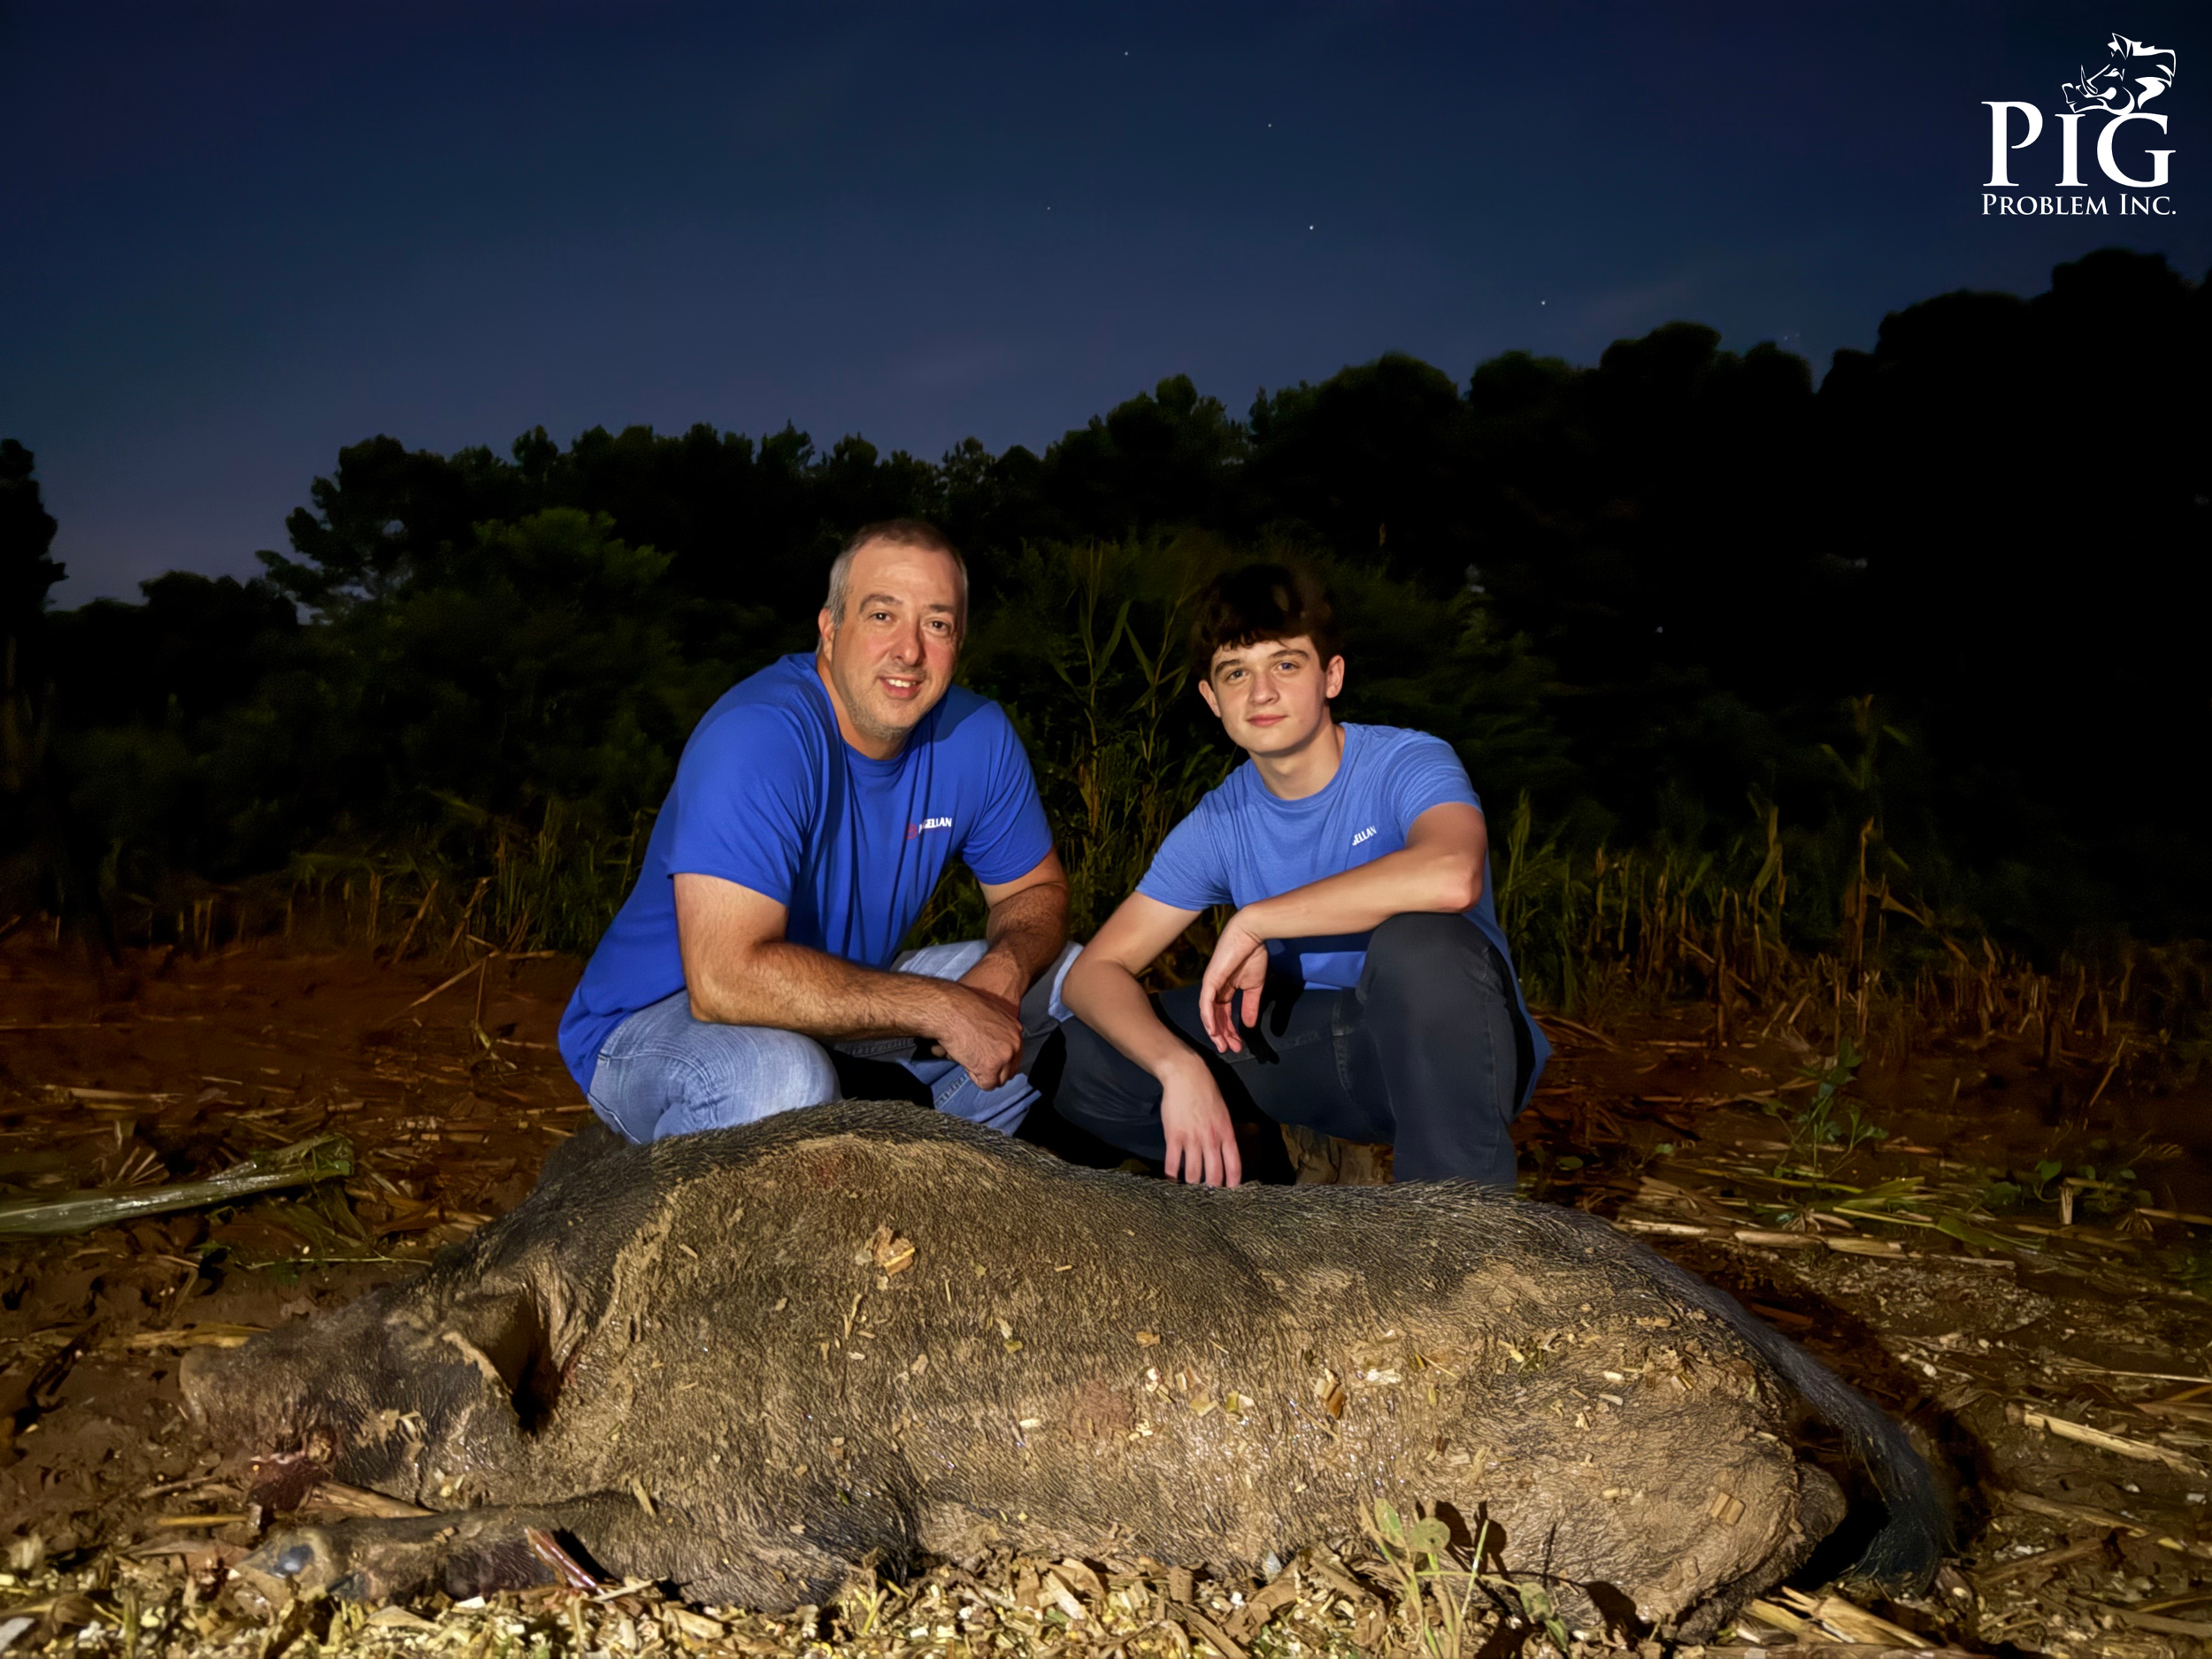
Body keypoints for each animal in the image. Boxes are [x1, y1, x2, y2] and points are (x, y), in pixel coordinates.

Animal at [182, 1100, 1944, 1640]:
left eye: (403, 1342)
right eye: (402, 1275)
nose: (208, 1378)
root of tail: (1747, 1344)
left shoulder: (800, 1517)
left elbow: (651, 1536)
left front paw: (289, 1557)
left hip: (1674, 1473)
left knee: (1788, 1515)